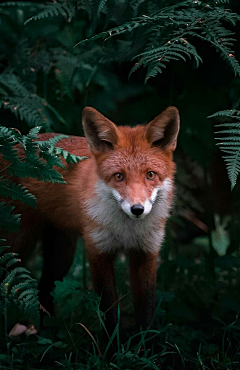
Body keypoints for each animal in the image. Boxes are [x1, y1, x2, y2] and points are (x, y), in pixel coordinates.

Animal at [1, 107, 179, 332]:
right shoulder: (98, 251)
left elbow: (146, 311)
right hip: (16, 247)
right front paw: (112, 342)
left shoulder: (146, 253)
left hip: (61, 257)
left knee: (44, 291)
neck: (126, 230)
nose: (137, 209)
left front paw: (145, 341)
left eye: (150, 175)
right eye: (119, 176)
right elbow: (109, 311)